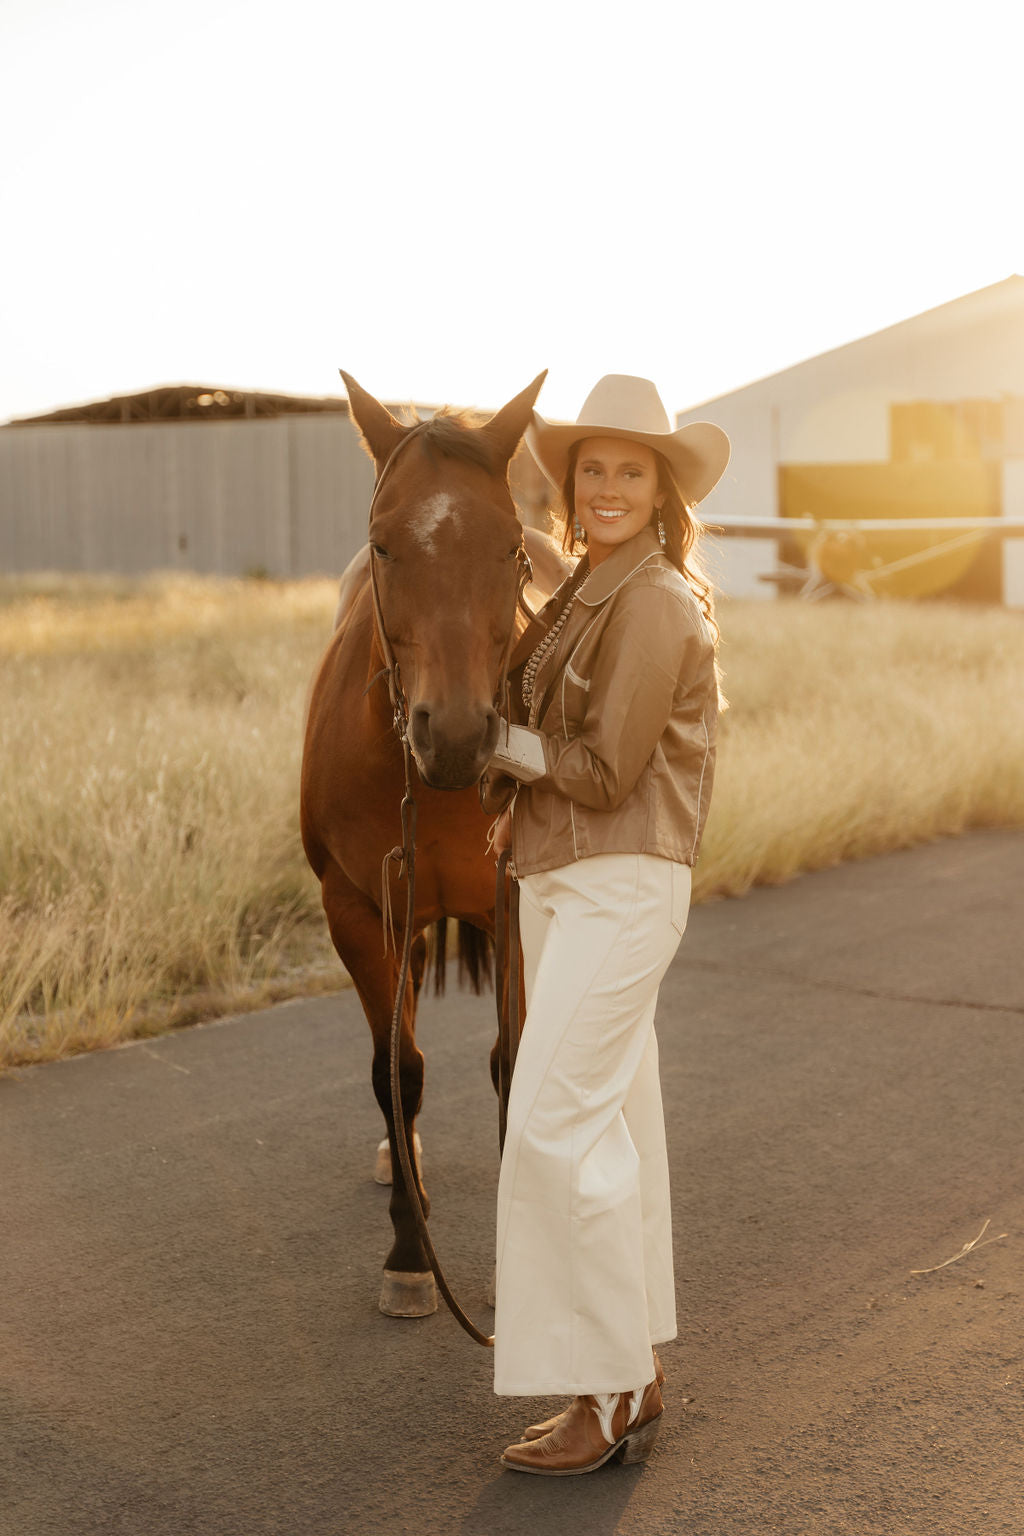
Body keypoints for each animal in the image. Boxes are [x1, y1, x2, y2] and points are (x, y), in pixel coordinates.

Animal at [300, 371, 568, 1320]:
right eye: (384, 545)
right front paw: (411, 1254)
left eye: (509, 551)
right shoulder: (356, 908)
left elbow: (514, 1062)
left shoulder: (519, 901)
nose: (452, 733)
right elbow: (397, 1072)